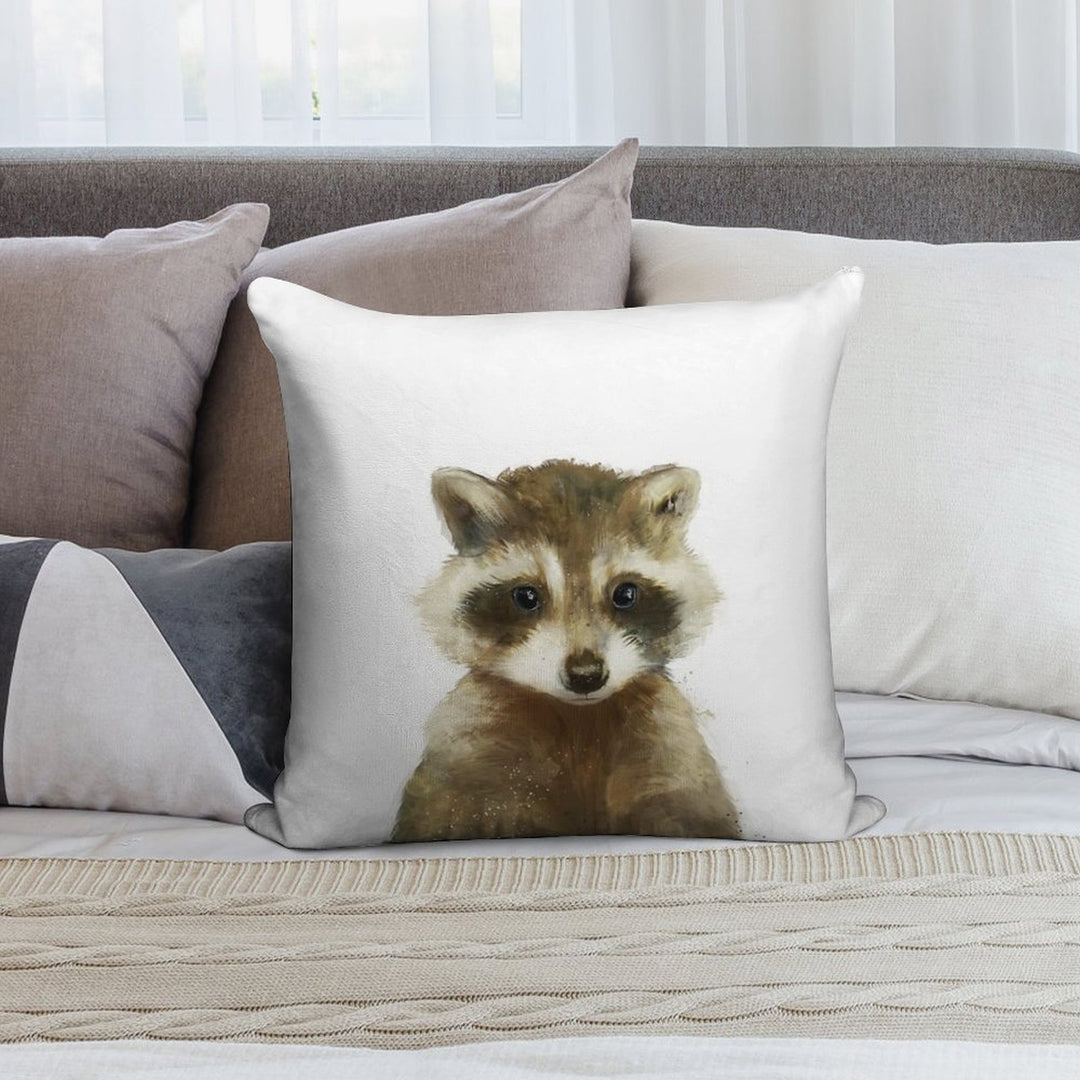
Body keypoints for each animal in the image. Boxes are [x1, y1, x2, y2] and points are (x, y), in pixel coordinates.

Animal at [391, 459, 736, 843]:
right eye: (527, 596)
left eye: (625, 594)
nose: (586, 676)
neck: (579, 719)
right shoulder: (474, 745)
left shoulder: (665, 742)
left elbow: (682, 804)